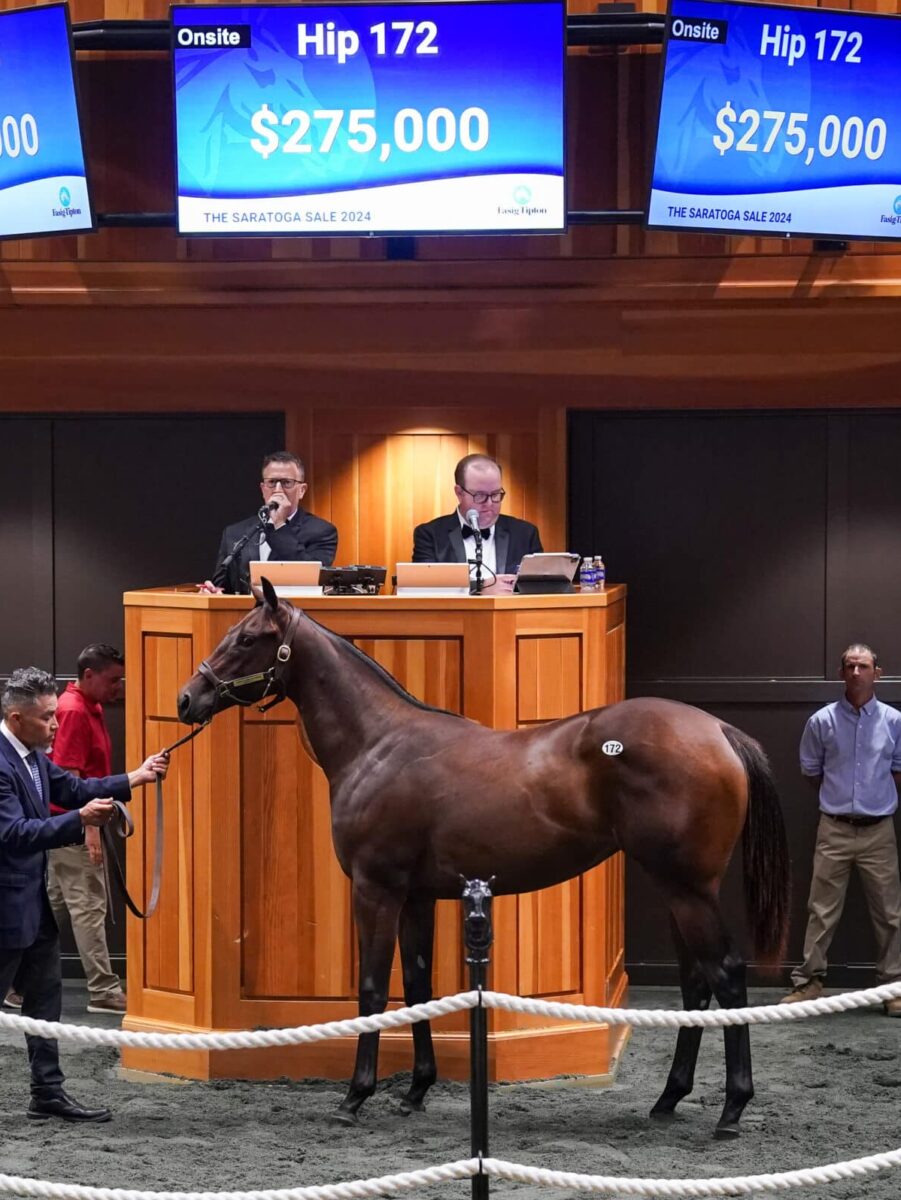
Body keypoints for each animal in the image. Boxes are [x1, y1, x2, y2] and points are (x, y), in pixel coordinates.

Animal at [176, 580, 787, 1142]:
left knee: (726, 976)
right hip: (676, 889)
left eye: (247, 638)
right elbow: (416, 985)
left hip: (688, 889)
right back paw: (668, 1099)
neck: (377, 746)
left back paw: (732, 1110)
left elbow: (372, 988)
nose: (186, 699)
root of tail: (717, 730)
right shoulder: (416, 896)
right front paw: (416, 1090)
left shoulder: (375, 888)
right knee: (696, 983)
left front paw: (355, 1096)